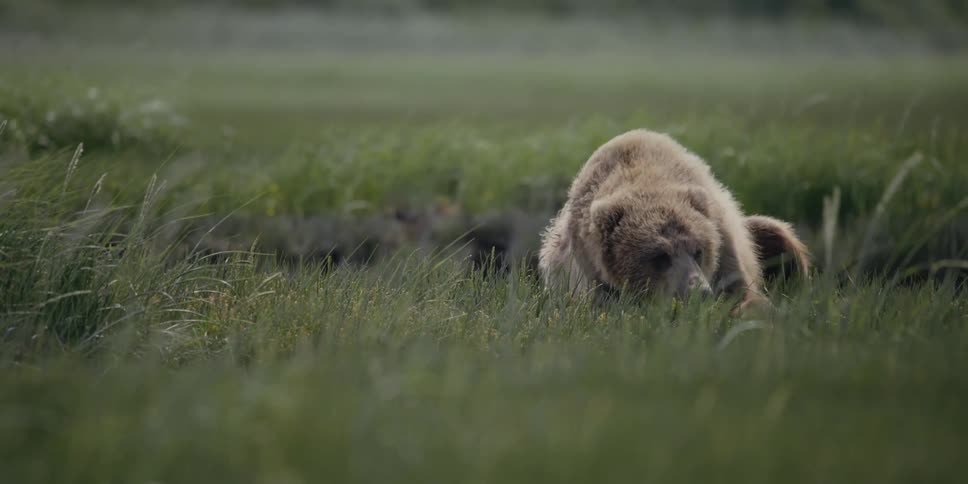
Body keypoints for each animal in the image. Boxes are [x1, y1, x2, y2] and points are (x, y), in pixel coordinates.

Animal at [539, 129, 809, 309]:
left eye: (698, 250)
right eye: (660, 256)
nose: (698, 291)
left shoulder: (723, 238)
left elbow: (738, 290)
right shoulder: (590, 271)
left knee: (778, 239)